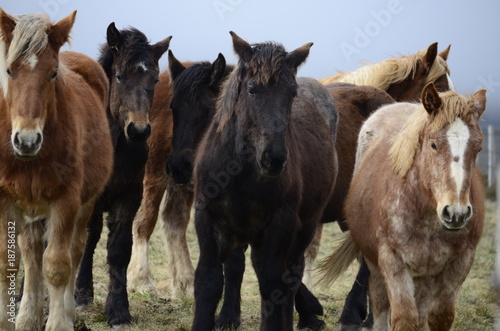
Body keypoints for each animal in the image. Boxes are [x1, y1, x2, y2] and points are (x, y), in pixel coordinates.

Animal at [0, 9, 113, 331]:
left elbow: (58, 266)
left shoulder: (66, 202)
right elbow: (9, 262)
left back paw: (67, 310)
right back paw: (28, 316)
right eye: (9, 70)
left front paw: (59, 321)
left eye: (52, 73)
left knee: (74, 250)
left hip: (85, 204)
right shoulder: (6, 201)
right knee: (32, 252)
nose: (26, 140)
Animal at [74, 23, 171, 330]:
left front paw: (118, 312)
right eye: (119, 75)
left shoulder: (129, 196)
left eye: (155, 78)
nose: (138, 131)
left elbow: (119, 250)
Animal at [189, 31, 338, 331]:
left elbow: (272, 286)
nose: (275, 158)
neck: (239, 175)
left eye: (292, 93)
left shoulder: (280, 224)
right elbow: (208, 282)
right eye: (251, 89)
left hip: (302, 230)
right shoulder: (207, 218)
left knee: (289, 278)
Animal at [318, 83, 486, 331]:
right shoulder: (393, 260)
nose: (456, 214)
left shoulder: (460, 263)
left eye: (478, 148)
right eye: (433, 144)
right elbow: (404, 318)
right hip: (376, 266)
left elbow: (439, 316)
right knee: (380, 305)